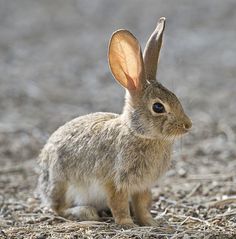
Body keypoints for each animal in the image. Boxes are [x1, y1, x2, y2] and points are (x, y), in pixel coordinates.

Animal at [37, 17, 192, 227]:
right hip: (61, 182)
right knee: (58, 208)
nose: (188, 125)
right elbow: (118, 204)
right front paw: (127, 224)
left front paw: (150, 223)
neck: (138, 133)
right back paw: (85, 212)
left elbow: (142, 205)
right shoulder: (115, 182)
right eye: (158, 107)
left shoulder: (142, 186)